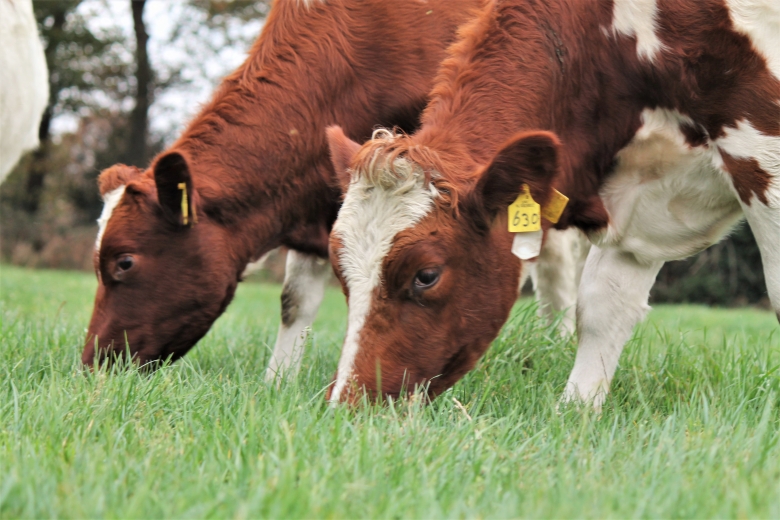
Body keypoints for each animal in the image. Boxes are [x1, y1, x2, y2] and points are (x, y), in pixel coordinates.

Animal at [325, 0, 780, 408]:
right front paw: (578, 411)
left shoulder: (764, 157)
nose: (347, 404)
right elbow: (600, 307)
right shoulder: (639, 196)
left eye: (426, 275)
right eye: (340, 270)